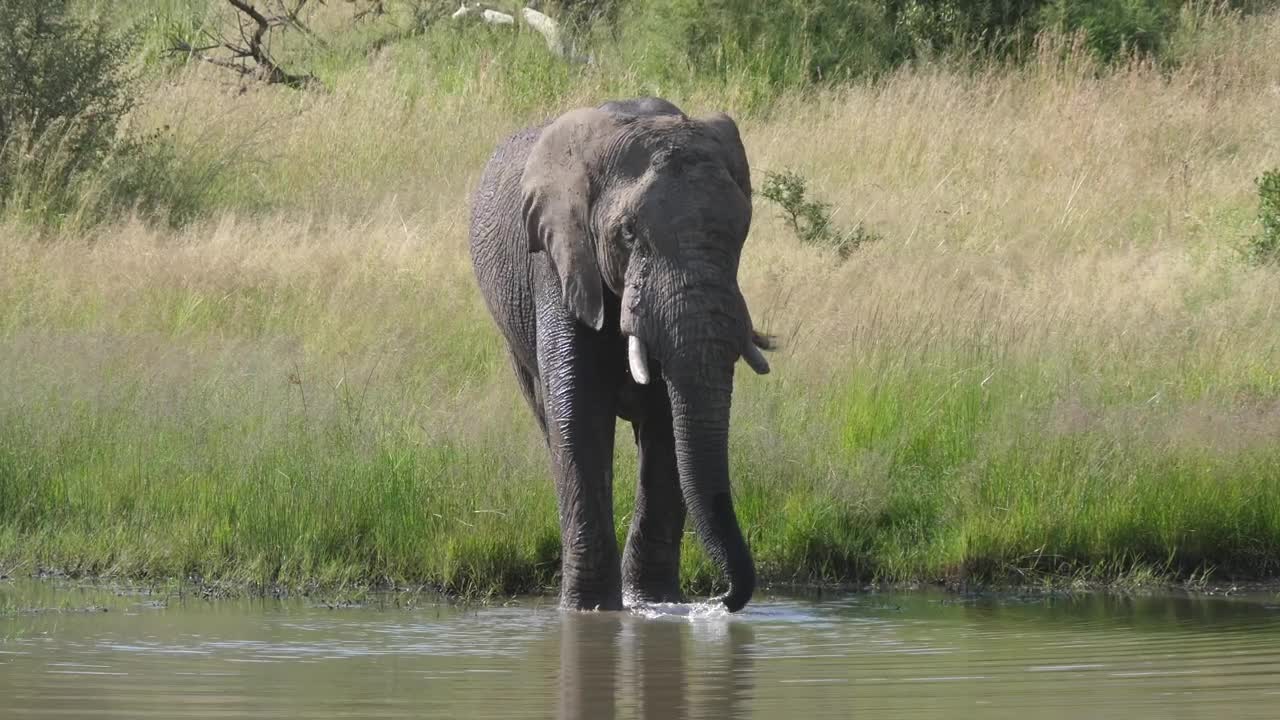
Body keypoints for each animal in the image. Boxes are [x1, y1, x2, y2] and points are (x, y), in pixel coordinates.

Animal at [467, 96, 772, 613]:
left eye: (743, 229)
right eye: (628, 234)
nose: (721, 598)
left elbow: (670, 424)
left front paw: (657, 603)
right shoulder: (558, 261)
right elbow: (579, 414)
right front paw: (590, 611)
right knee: (548, 419)